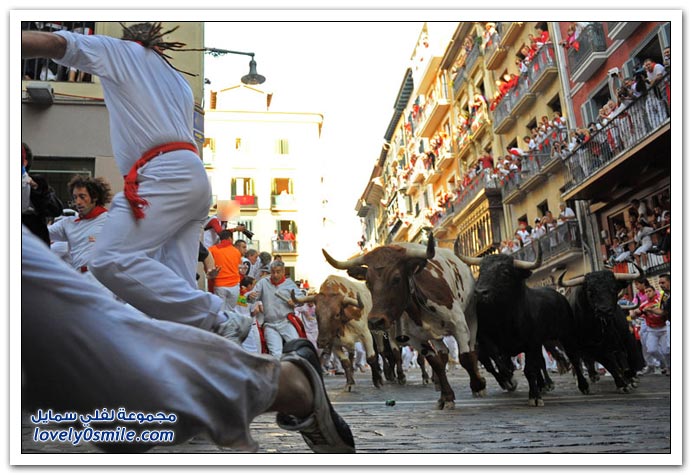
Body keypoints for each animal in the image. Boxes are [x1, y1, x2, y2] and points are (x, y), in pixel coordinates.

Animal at [322, 234, 484, 410]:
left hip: (471, 315)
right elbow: (435, 362)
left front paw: (478, 385)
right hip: (433, 335)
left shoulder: (459, 326)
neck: (418, 308)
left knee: (473, 348)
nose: (375, 321)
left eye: (397, 278)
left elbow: (465, 357)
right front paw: (447, 397)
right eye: (368, 282)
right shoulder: (416, 338)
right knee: (443, 353)